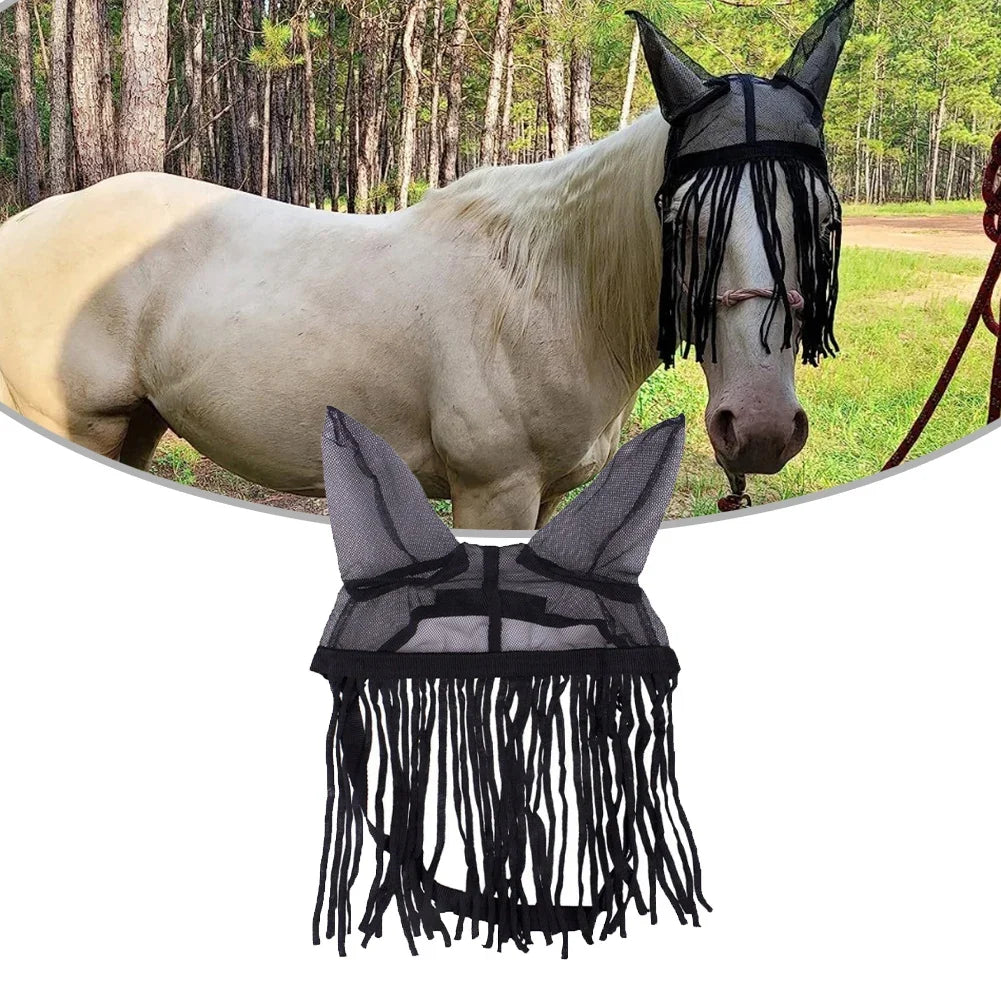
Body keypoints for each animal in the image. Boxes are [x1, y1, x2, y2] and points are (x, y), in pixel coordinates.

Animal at [0, 6, 852, 529]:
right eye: (681, 221)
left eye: (824, 220)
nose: (760, 427)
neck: (550, 293)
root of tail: (24, 227)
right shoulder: (493, 493)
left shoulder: (542, 497)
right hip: (77, 423)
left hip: (137, 424)